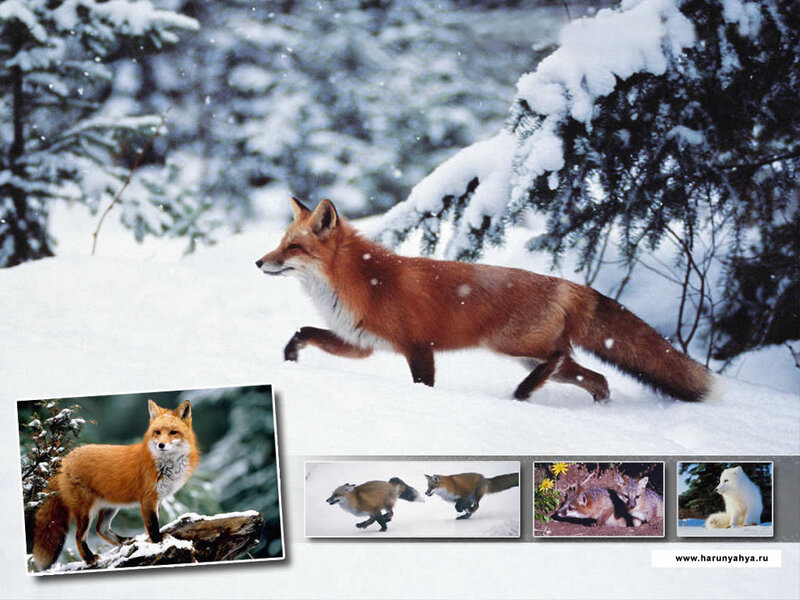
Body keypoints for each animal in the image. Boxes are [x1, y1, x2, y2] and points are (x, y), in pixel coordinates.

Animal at [32, 400, 199, 571]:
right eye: (157, 432)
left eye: (173, 432)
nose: (161, 445)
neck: (165, 465)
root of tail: (64, 459)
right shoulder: (148, 499)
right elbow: (153, 526)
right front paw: (158, 543)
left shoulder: (158, 499)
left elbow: (155, 524)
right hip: (86, 511)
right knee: (79, 536)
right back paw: (89, 558)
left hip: (111, 507)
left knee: (101, 529)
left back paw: (124, 541)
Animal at [256, 197, 717, 403]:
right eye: (281, 242)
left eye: (293, 247)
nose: (259, 261)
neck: (364, 281)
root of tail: (567, 283)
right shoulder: (361, 344)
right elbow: (304, 331)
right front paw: (289, 359)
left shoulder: (418, 347)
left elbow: (423, 385)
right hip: (533, 357)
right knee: (597, 378)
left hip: (511, 346)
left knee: (558, 360)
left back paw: (522, 394)